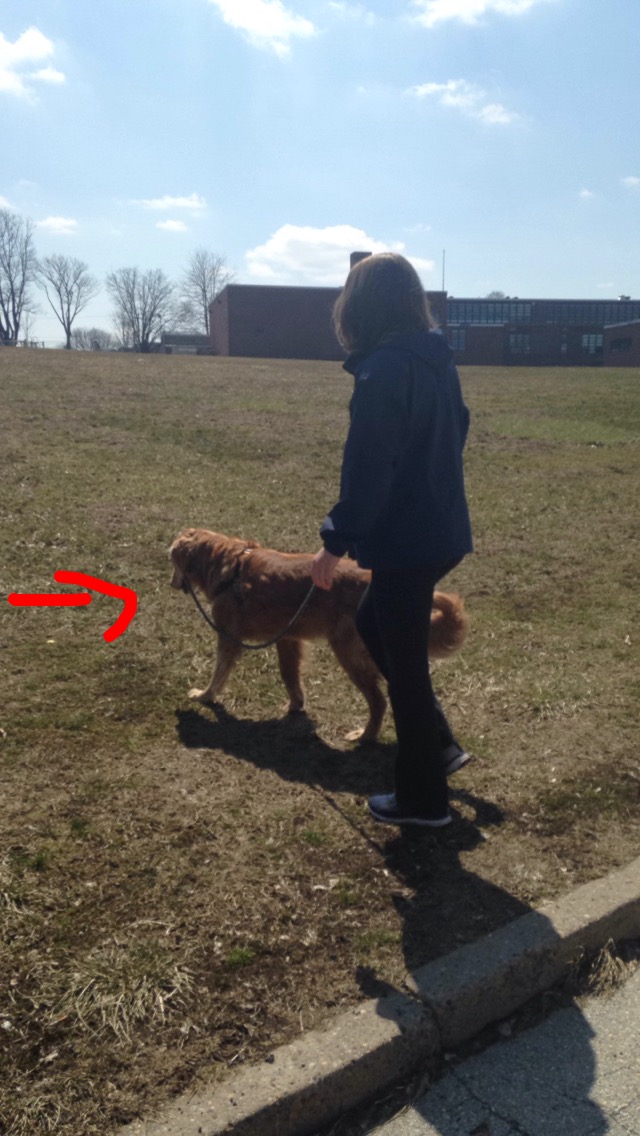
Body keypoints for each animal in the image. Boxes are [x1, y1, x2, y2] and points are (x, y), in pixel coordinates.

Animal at [170, 527, 467, 741]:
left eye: (173, 562)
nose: (171, 584)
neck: (227, 563)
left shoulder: (228, 637)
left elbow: (219, 673)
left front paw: (204, 695)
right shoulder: (288, 639)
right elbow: (289, 675)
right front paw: (295, 705)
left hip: (348, 653)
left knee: (379, 701)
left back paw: (365, 737)